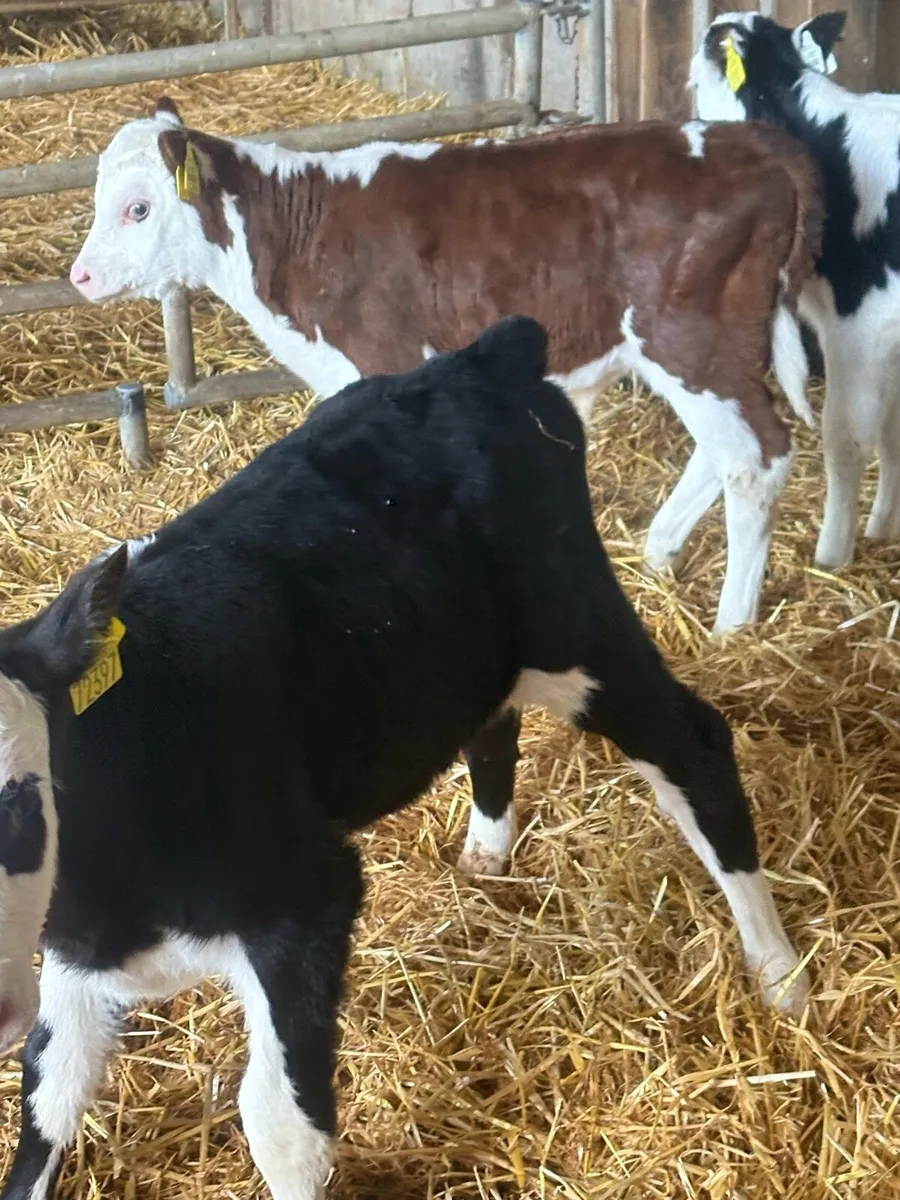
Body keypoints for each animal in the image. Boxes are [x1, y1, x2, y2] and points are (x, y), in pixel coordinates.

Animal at [0, 319, 806, 1200]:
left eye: (16, 800)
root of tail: (478, 358)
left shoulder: (309, 898)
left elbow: (281, 1126)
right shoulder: (73, 968)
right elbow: (44, 1102)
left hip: (578, 632)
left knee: (696, 747)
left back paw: (781, 973)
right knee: (491, 724)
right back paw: (488, 853)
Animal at [70, 99, 825, 635]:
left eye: (138, 208)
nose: (79, 276)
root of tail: (747, 140)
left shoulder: (385, 368)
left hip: (688, 335)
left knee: (755, 455)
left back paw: (731, 627)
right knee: (727, 449)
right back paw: (661, 552)